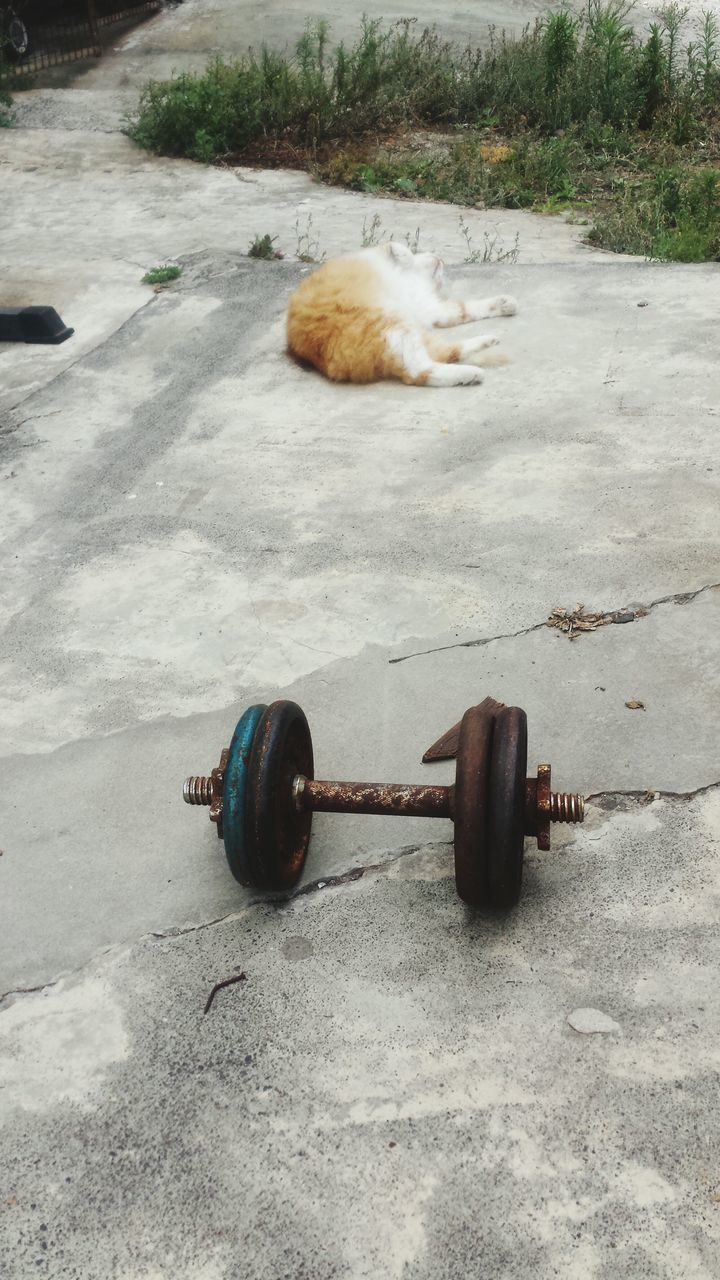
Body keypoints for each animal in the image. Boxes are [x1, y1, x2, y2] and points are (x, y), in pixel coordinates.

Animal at [283, 240, 512, 386]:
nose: (441, 259)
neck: (410, 279)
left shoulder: (430, 309)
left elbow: (465, 309)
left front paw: (504, 304)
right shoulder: (374, 253)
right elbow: (398, 247)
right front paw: (406, 255)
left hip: (401, 328)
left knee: (437, 360)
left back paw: (476, 360)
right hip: (393, 324)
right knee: (419, 371)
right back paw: (475, 364)